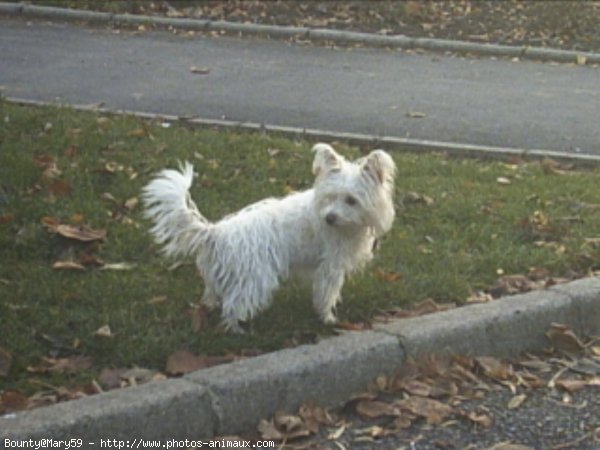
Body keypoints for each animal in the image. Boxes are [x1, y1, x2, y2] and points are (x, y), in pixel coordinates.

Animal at [143, 144, 396, 334]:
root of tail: (215, 232)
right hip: (255, 278)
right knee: (233, 306)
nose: (330, 218)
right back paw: (237, 331)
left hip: (220, 276)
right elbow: (326, 294)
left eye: (351, 200)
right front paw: (328, 319)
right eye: (330, 197)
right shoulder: (330, 268)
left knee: (214, 296)